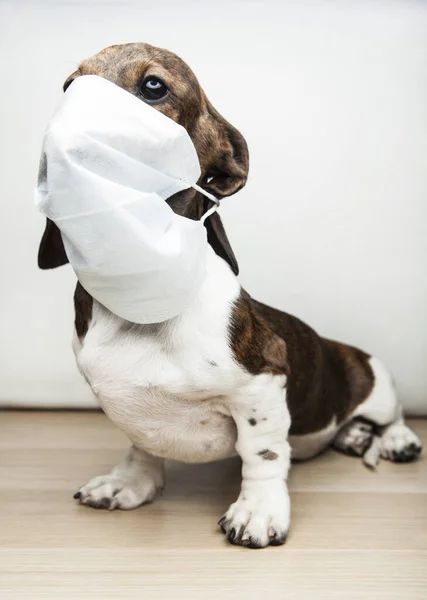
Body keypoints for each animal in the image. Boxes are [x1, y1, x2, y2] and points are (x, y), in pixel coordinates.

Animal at [38, 42, 422, 548]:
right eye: (68, 86)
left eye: (153, 85)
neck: (141, 295)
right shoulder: (133, 413)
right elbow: (142, 446)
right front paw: (129, 483)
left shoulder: (263, 383)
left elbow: (262, 455)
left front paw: (258, 511)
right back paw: (353, 437)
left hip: (376, 384)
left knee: (390, 416)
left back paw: (395, 439)